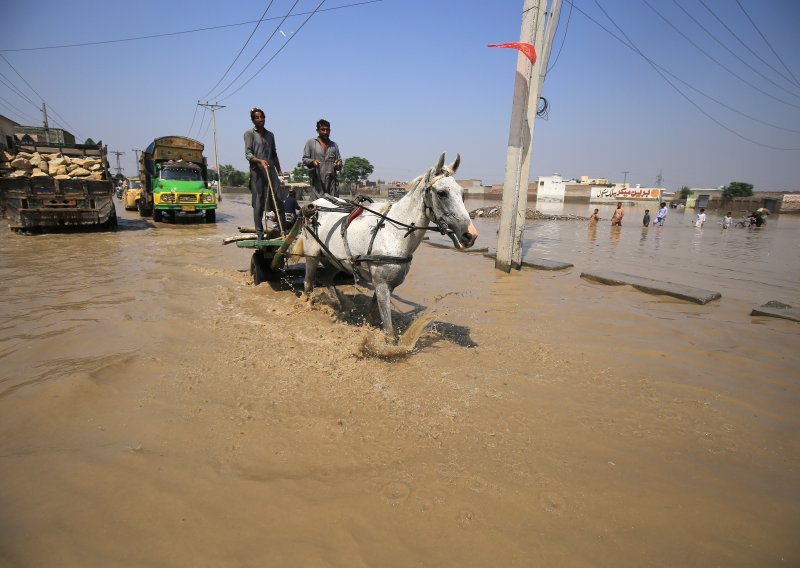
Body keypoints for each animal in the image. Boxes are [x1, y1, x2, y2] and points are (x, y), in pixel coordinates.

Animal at [300, 153, 476, 340]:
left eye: (462, 193)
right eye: (442, 193)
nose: (470, 235)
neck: (395, 233)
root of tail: (314, 203)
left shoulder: (384, 284)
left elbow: (373, 312)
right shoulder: (382, 284)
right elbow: (390, 332)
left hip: (336, 260)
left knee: (326, 277)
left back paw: (341, 306)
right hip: (312, 255)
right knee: (308, 283)